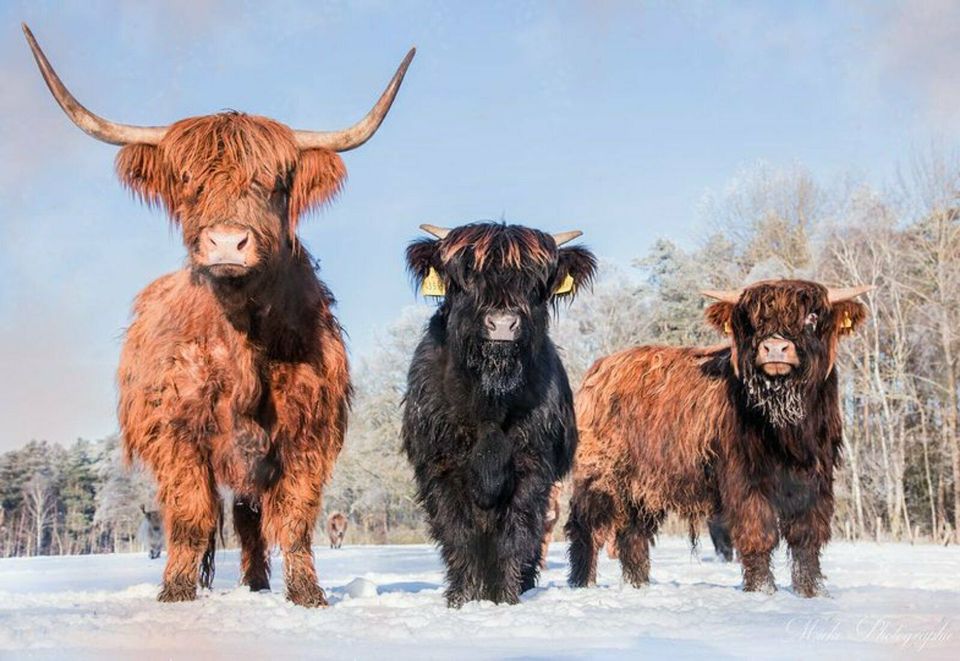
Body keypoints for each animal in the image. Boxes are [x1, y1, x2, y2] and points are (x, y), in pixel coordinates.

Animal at [24, 24, 414, 604]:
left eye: (274, 182)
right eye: (189, 181)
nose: (227, 242)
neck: (244, 334)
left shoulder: (307, 432)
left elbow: (293, 518)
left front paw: (307, 596)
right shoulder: (178, 433)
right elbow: (189, 516)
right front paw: (176, 594)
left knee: (250, 516)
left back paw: (256, 583)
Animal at [402, 220, 596, 604]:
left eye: (535, 281)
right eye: (465, 276)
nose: (503, 324)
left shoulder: (533, 467)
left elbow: (516, 535)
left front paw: (506, 597)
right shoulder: (440, 467)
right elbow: (458, 534)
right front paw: (461, 598)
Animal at [568, 276, 872, 596]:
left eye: (812, 316)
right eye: (752, 319)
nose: (775, 347)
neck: (786, 428)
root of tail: (601, 367)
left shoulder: (816, 480)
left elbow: (807, 538)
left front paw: (811, 592)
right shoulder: (746, 480)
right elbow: (757, 534)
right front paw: (761, 590)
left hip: (643, 486)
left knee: (633, 534)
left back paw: (638, 585)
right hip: (599, 474)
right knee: (586, 528)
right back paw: (581, 584)